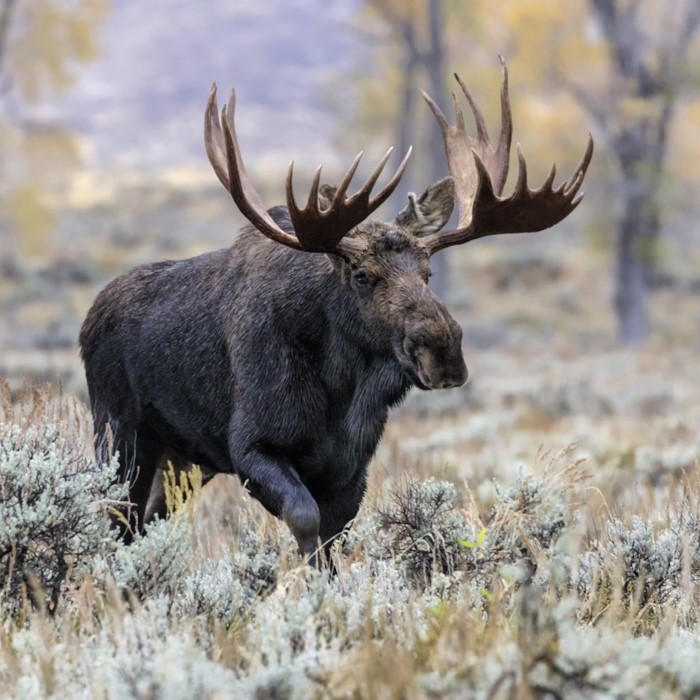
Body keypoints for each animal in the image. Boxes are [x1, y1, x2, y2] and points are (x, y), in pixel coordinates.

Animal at [80, 60, 593, 564]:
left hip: (182, 460)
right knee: (117, 519)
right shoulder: (251, 446)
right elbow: (306, 523)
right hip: (120, 435)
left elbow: (333, 539)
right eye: (362, 275)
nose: (444, 353)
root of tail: (88, 320)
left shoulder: (351, 467)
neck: (340, 391)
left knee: (143, 522)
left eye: (428, 272)